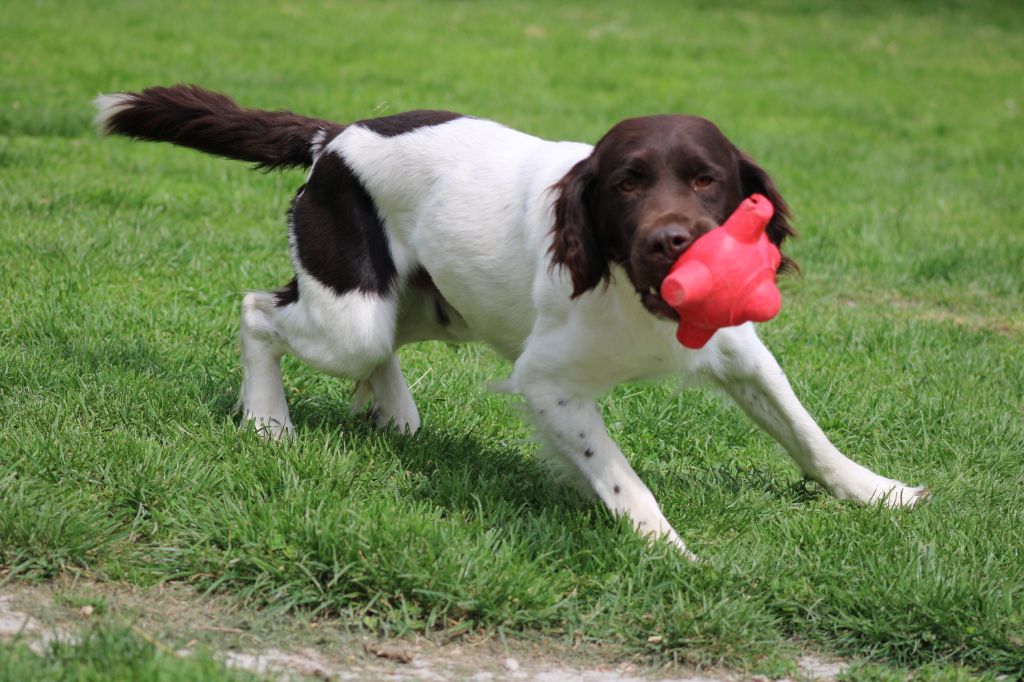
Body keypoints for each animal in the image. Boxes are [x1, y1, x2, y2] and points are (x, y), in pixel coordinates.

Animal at [94, 84, 929, 557]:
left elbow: (806, 433)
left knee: (374, 341)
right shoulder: (548, 385)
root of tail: (336, 138)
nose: (671, 242)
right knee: (259, 309)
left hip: (431, 304)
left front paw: (878, 492)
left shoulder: (740, 354)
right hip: (349, 312)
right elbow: (622, 480)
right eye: (627, 184)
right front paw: (667, 549)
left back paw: (391, 409)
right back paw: (270, 419)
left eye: (706, 179)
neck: (631, 293)